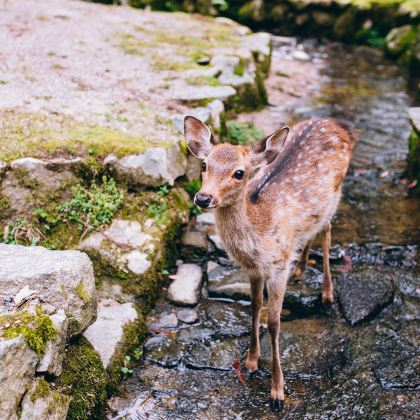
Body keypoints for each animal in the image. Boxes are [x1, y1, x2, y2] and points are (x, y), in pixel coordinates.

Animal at [184, 116, 354, 412]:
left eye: (239, 173)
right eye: (204, 165)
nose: (203, 198)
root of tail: (339, 123)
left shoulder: (278, 265)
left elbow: (274, 322)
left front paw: (277, 392)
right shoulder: (254, 269)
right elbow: (254, 308)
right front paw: (251, 362)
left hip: (335, 194)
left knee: (327, 230)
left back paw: (327, 292)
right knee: (312, 231)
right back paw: (301, 269)